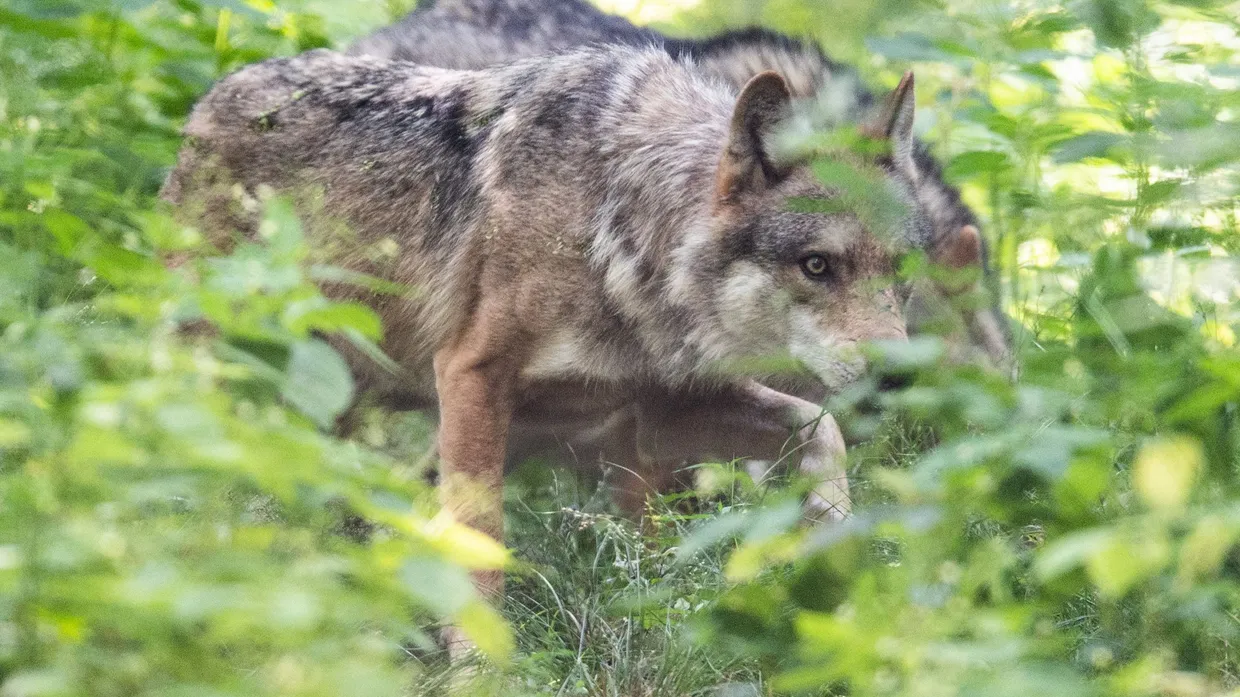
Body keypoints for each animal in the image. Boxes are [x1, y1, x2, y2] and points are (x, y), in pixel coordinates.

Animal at [164, 47, 935, 610]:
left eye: (901, 269)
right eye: (817, 265)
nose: (904, 376)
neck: (612, 227)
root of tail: (213, 96)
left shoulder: (657, 410)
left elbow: (822, 432)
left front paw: (843, 572)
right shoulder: (471, 376)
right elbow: (481, 553)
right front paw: (479, 673)